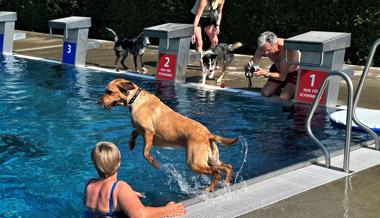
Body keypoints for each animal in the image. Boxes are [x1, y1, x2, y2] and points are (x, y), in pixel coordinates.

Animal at [99, 79, 239, 192]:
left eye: (109, 92)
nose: (98, 101)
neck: (135, 99)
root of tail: (208, 134)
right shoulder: (140, 130)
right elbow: (133, 132)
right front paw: (131, 143)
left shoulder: (149, 132)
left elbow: (145, 153)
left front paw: (154, 162)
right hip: (210, 159)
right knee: (227, 166)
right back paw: (226, 183)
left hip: (194, 162)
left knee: (216, 172)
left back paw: (209, 189)